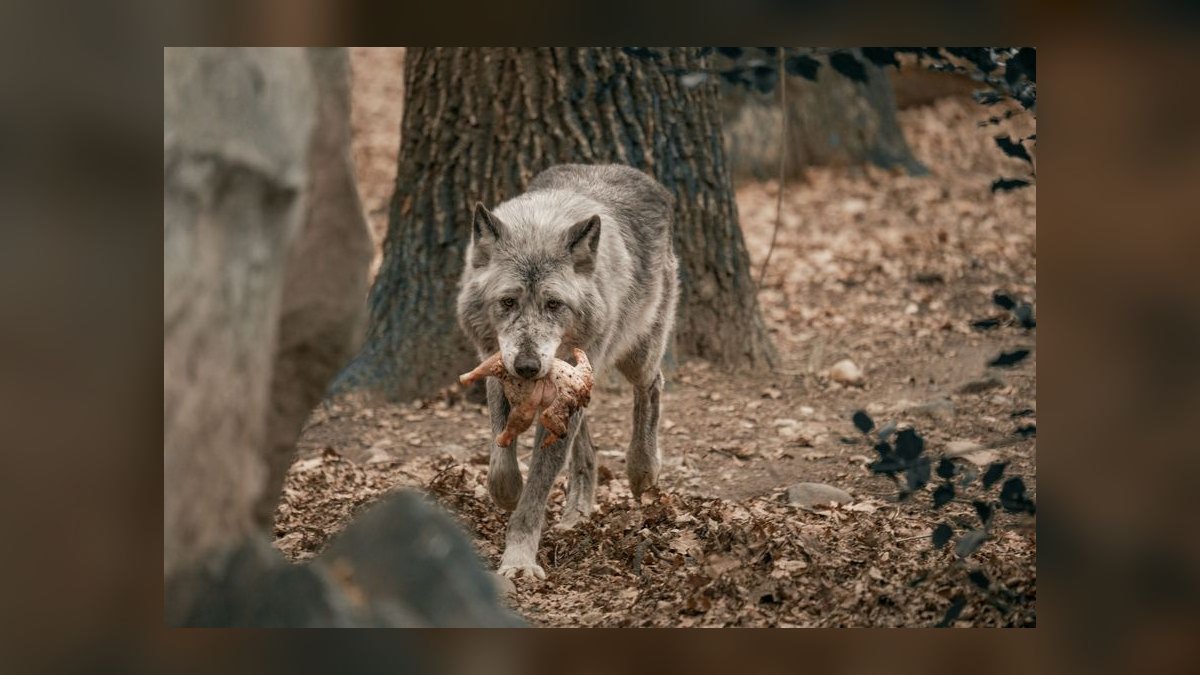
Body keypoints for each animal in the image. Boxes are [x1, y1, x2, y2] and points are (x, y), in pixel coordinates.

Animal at [457, 164, 679, 580]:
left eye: (554, 305)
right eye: (507, 302)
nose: (528, 367)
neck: (540, 225)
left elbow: (536, 492)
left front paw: (519, 560)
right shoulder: (496, 368)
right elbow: (501, 459)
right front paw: (507, 493)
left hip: (636, 357)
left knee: (652, 386)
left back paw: (643, 469)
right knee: (585, 448)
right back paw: (577, 512)